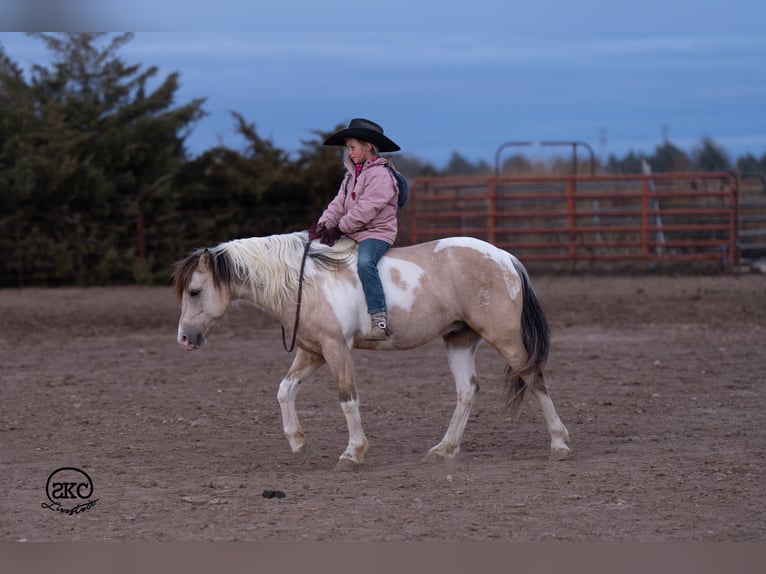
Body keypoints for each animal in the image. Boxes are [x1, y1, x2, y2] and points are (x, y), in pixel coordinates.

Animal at [172, 232, 570, 470]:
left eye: (194, 291)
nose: (184, 339)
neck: (305, 282)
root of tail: (504, 257)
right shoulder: (312, 351)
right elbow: (284, 391)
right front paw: (299, 445)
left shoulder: (335, 349)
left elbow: (348, 399)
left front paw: (353, 452)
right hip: (459, 339)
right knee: (467, 391)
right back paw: (444, 449)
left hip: (505, 338)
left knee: (534, 378)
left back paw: (559, 444)